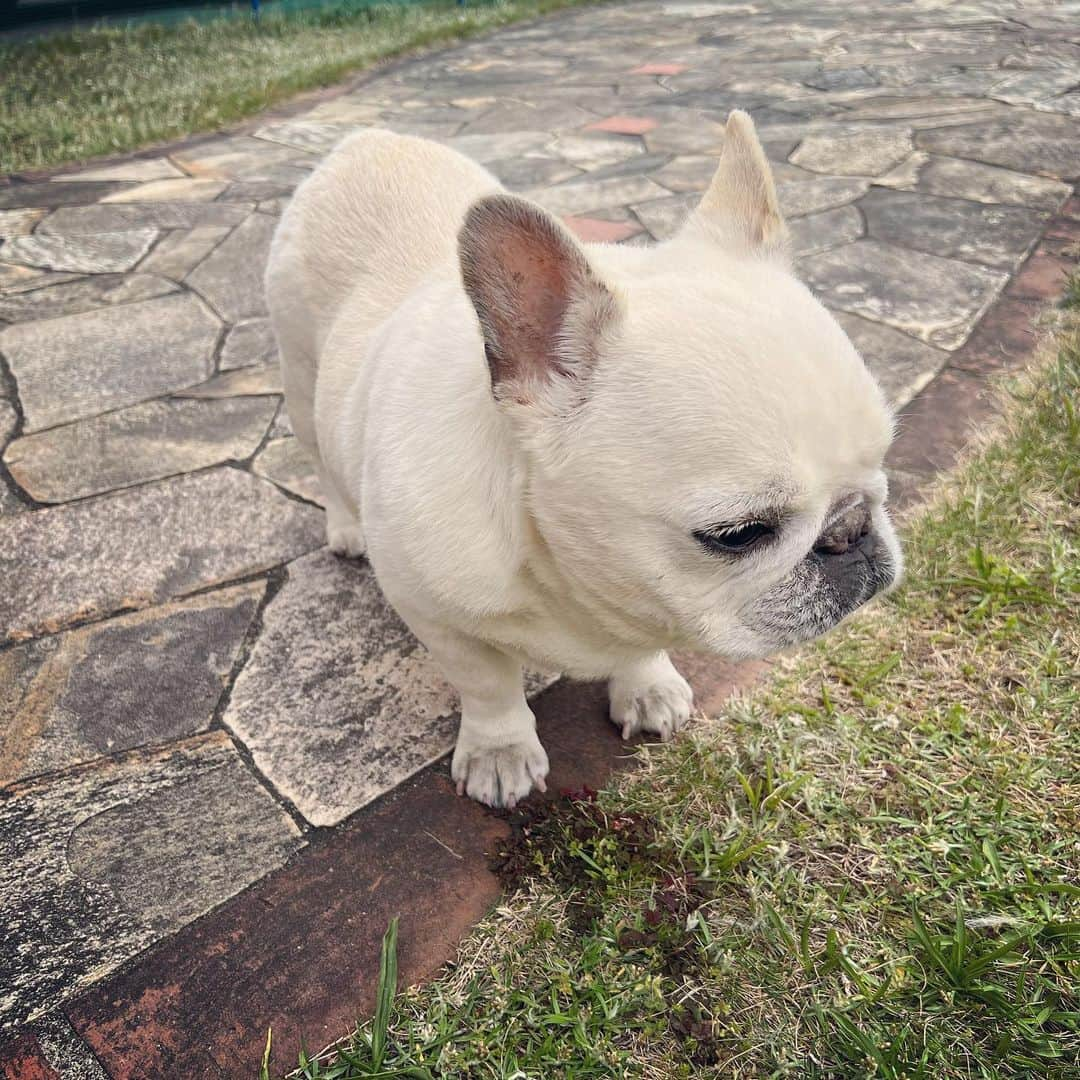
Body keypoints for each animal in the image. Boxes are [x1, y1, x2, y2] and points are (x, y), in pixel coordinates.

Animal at [263, 116, 902, 812]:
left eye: (885, 459)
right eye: (738, 534)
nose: (851, 529)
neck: (564, 571)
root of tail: (365, 141)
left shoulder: (648, 592)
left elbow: (645, 641)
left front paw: (646, 686)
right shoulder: (433, 613)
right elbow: (487, 684)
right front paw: (499, 751)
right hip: (301, 381)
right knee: (321, 460)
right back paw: (345, 527)